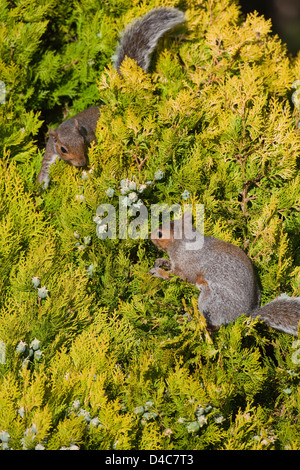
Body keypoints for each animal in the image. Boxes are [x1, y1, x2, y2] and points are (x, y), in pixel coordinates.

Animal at [37, 6, 185, 187]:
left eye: (83, 142)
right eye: (63, 149)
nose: (81, 162)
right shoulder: (51, 150)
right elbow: (45, 167)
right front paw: (41, 185)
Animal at [150, 211, 300, 336]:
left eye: (160, 233)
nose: (150, 237)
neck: (182, 243)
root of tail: (243, 314)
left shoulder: (187, 265)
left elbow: (179, 276)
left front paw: (158, 272)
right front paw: (162, 261)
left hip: (211, 301)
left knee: (214, 323)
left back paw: (194, 319)